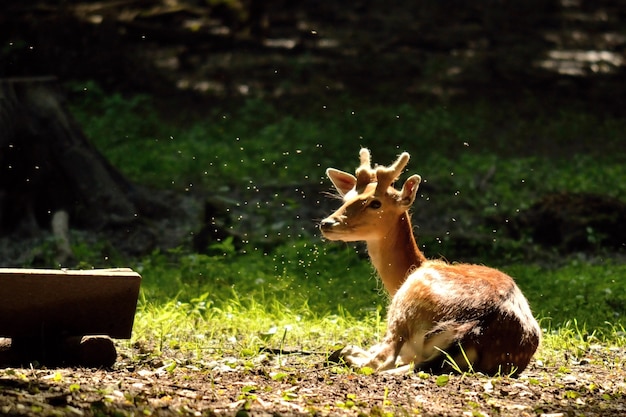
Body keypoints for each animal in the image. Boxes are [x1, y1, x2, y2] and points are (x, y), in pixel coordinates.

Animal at [320, 148, 540, 376]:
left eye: (375, 203)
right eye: (346, 198)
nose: (326, 223)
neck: (414, 266)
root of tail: (473, 327)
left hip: (406, 304)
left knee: (379, 362)